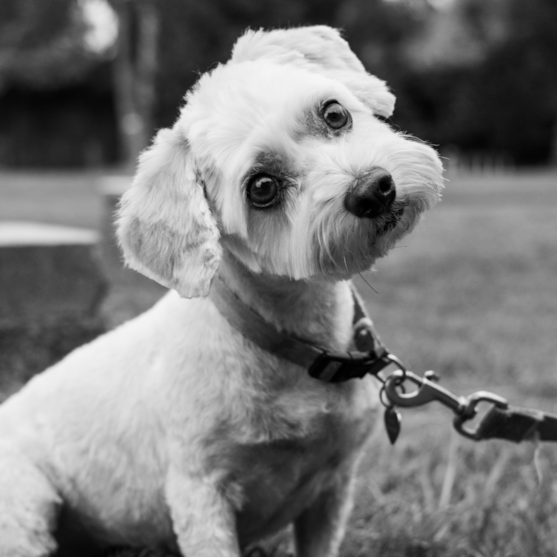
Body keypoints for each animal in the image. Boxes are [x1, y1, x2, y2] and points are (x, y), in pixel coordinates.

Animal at [0, 25, 444, 556]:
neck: (289, 343)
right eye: (262, 187)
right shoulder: (200, 494)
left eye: (334, 113)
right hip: (24, 506)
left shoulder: (333, 487)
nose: (375, 189)